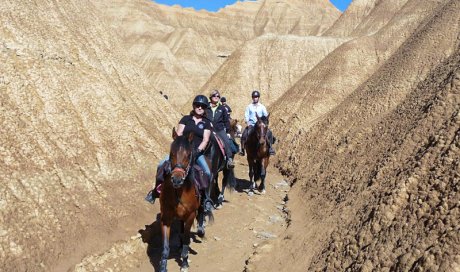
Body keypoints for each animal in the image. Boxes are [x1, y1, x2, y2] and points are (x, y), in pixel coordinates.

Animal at [159, 129, 200, 272]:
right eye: (172, 153)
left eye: (188, 155)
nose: (176, 180)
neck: (179, 192)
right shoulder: (166, 218)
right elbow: (165, 246)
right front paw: (162, 267)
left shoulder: (191, 215)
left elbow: (187, 239)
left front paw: (184, 263)